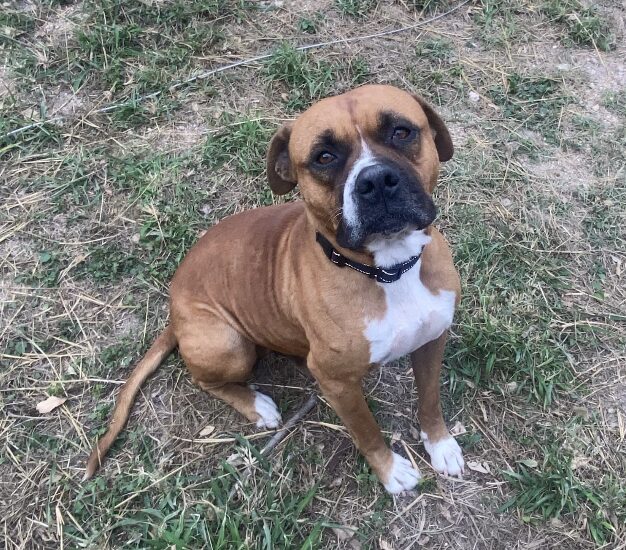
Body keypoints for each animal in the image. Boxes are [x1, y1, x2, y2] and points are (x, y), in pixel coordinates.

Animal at [84, 84, 464, 493]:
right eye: (324, 156)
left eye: (401, 131)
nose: (375, 180)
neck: (389, 269)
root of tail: (174, 310)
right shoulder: (338, 384)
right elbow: (367, 431)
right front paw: (390, 471)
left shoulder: (432, 339)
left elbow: (430, 399)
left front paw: (440, 444)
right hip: (229, 345)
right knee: (203, 379)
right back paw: (256, 405)